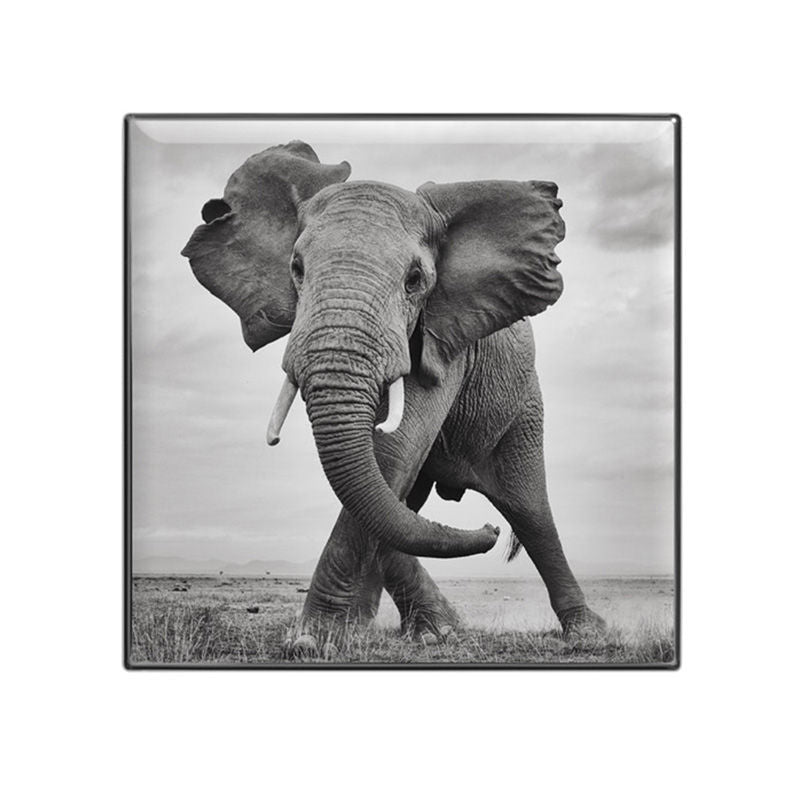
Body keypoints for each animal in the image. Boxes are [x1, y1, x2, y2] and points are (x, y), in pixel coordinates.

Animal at [181, 140, 606, 657]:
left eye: (415, 279)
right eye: (296, 270)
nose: (488, 531)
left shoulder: (442, 335)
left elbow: (393, 451)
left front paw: (312, 640)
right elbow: (384, 482)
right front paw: (351, 635)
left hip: (522, 406)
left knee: (529, 510)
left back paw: (587, 632)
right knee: (408, 504)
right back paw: (419, 628)